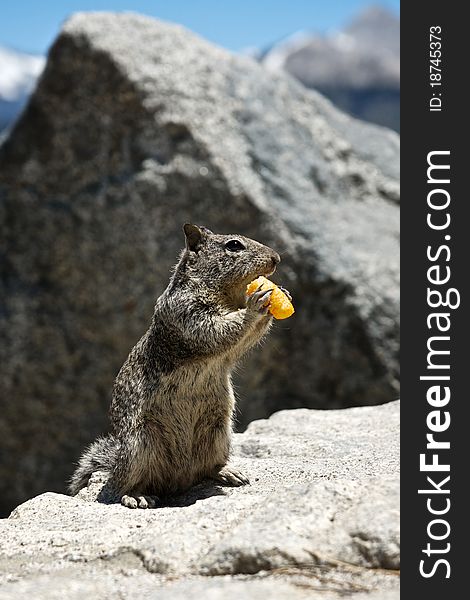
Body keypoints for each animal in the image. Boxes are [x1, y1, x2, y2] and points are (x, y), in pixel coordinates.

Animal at [69, 223, 282, 508]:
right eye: (234, 245)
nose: (276, 258)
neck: (226, 296)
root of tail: (176, 481)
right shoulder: (187, 313)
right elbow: (218, 330)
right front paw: (256, 304)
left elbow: (240, 340)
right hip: (139, 446)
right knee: (120, 486)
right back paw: (134, 496)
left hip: (219, 431)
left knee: (204, 469)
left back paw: (228, 472)